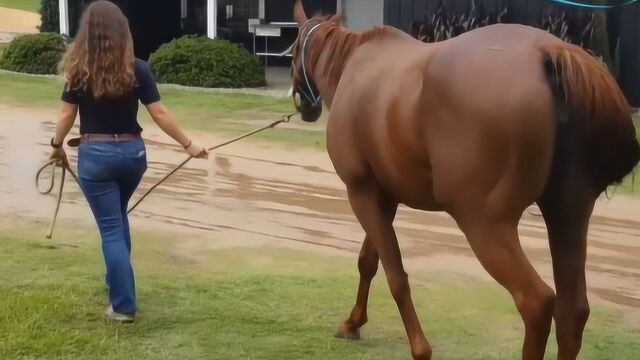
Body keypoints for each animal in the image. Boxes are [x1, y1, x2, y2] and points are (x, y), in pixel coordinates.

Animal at [288, 1, 640, 358]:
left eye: (291, 50)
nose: (306, 107)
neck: (356, 68)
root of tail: (549, 53)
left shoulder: (360, 192)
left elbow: (395, 274)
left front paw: (419, 348)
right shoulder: (384, 195)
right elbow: (369, 262)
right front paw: (353, 322)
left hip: (482, 223)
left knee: (536, 303)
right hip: (568, 217)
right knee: (574, 311)